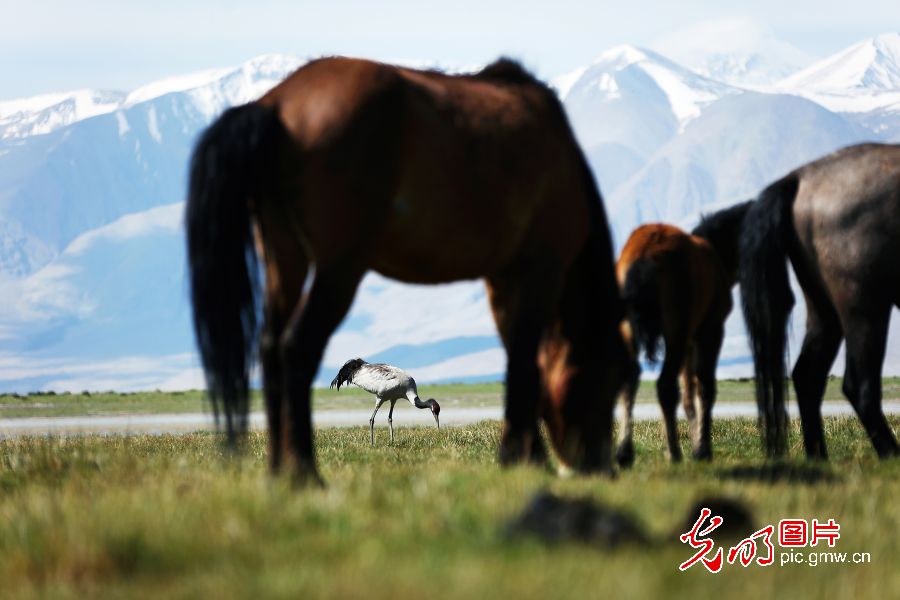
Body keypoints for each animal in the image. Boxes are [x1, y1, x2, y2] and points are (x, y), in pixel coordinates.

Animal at [186, 57, 628, 482]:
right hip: (339, 264)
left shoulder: (502, 278)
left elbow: (517, 358)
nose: (603, 465)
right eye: (610, 379)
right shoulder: (540, 265)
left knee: (269, 346)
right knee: (296, 347)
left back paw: (280, 470)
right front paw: (525, 459)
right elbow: (523, 363)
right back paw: (305, 474)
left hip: (281, 254)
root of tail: (273, 107)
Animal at [612, 200, 752, 464]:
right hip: (675, 332)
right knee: (665, 385)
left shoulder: (689, 341)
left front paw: (697, 442)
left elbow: (689, 393)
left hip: (631, 331)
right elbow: (705, 387)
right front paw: (702, 450)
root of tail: (645, 252)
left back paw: (625, 452)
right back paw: (674, 452)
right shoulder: (709, 332)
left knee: (630, 380)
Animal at [740, 142, 900, 460]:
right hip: (863, 302)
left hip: (822, 305)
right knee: (859, 385)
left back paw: (818, 456)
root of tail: (799, 178)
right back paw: (890, 455)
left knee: (807, 375)